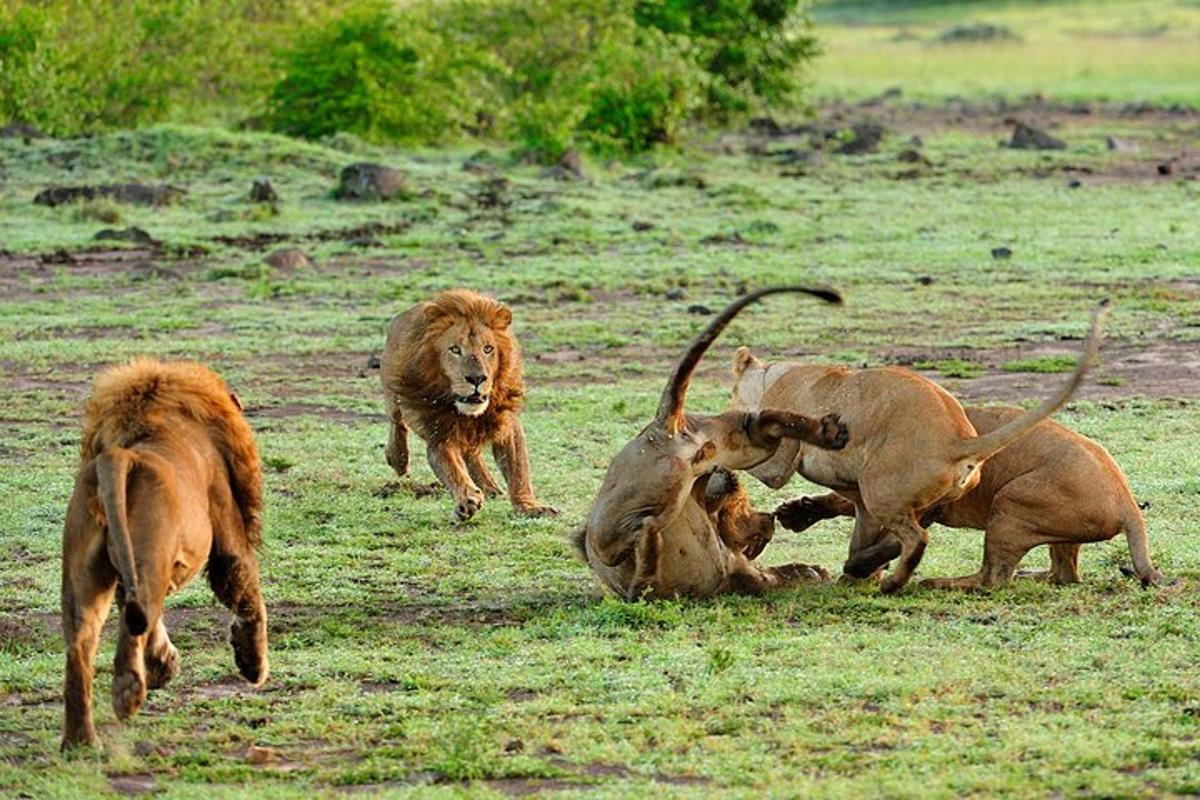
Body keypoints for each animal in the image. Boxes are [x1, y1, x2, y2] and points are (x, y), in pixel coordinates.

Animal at [61, 362, 270, 753]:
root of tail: (121, 456)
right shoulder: (226, 522)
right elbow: (244, 586)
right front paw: (253, 664)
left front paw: (164, 664)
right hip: (151, 554)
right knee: (135, 622)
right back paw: (128, 693)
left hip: (83, 574)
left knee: (83, 643)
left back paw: (81, 741)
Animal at [379, 291, 556, 522]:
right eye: (455, 349)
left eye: (488, 349)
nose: (477, 378)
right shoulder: (440, 436)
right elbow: (452, 469)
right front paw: (467, 500)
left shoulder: (506, 422)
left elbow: (518, 469)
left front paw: (529, 506)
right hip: (395, 389)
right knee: (396, 421)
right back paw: (398, 459)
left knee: (472, 453)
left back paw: (490, 487)